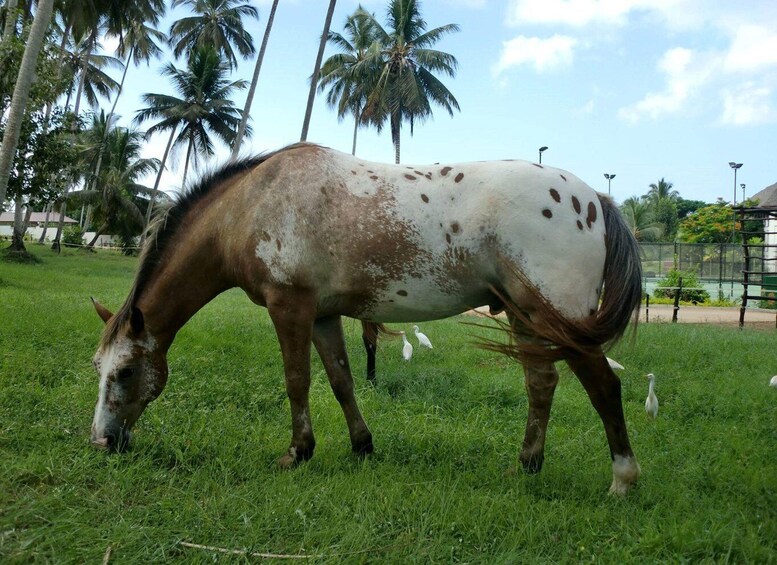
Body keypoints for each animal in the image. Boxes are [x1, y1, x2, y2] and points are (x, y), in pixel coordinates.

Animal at [89, 142, 643, 495]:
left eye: (125, 372)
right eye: (100, 369)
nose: (102, 442)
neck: (251, 205)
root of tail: (596, 199)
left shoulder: (289, 306)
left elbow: (297, 381)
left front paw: (298, 452)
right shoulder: (322, 315)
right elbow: (341, 380)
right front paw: (361, 446)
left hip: (558, 319)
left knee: (603, 387)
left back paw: (622, 480)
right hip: (527, 318)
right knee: (541, 384)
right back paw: (526, 466)